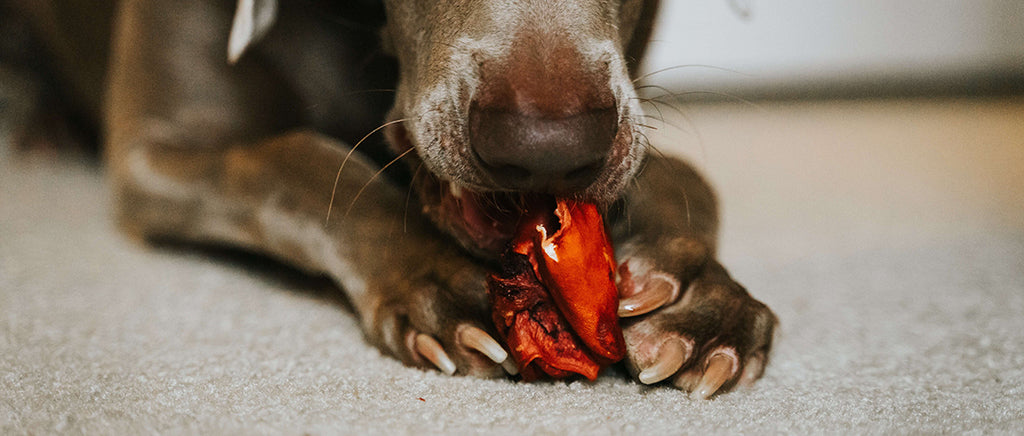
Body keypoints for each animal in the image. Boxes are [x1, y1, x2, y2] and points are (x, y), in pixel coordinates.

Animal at [6, 0, 774, 397]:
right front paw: (438, 280)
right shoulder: (155, 154)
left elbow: (686, 177)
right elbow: (298, 159)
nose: (544, 147)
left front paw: (704, 302)